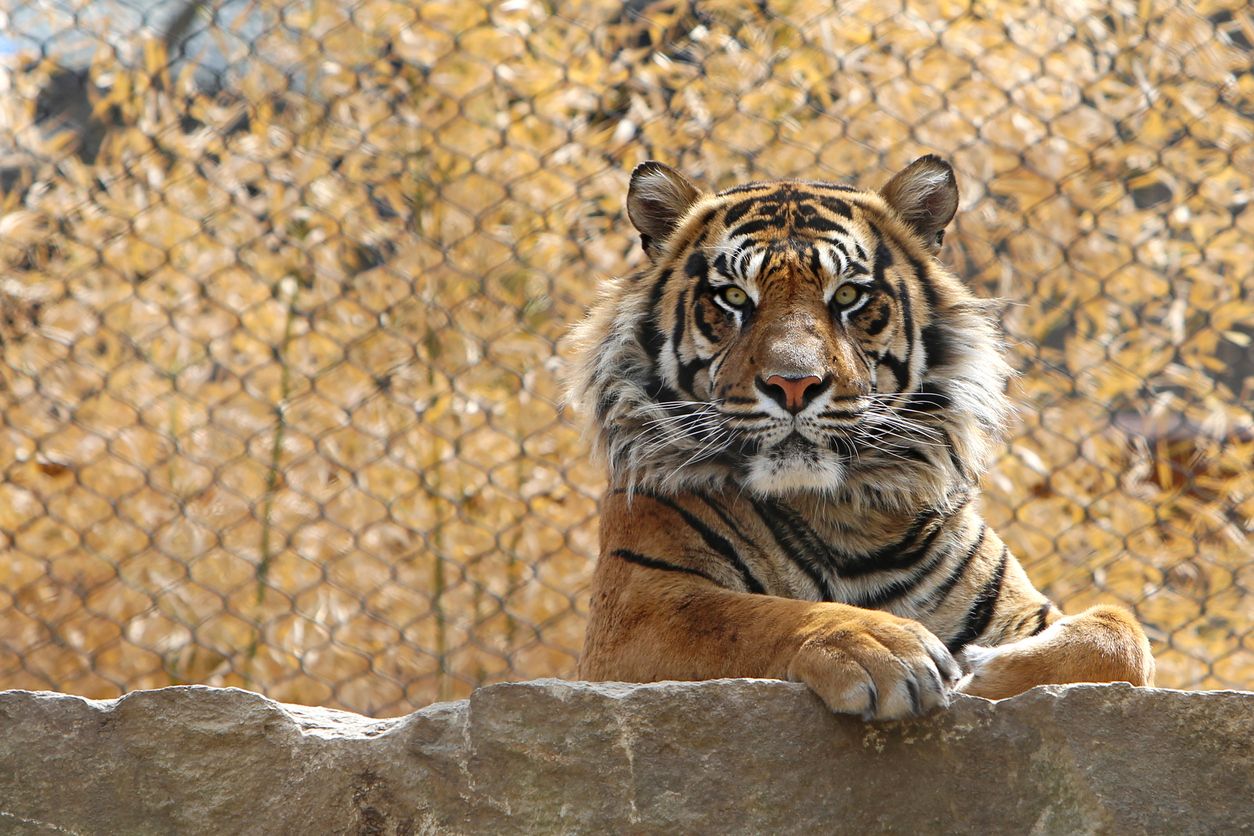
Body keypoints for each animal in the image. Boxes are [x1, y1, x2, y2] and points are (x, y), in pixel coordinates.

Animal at [566, 156, 1154, 720]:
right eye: (733, 296)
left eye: (848, 294)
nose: (793, 384)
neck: (844, 517)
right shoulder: (639, 609)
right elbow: (753, 616)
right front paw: (880, 646)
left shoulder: (1023, 608)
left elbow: (1121, 634)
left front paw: (988, 673)